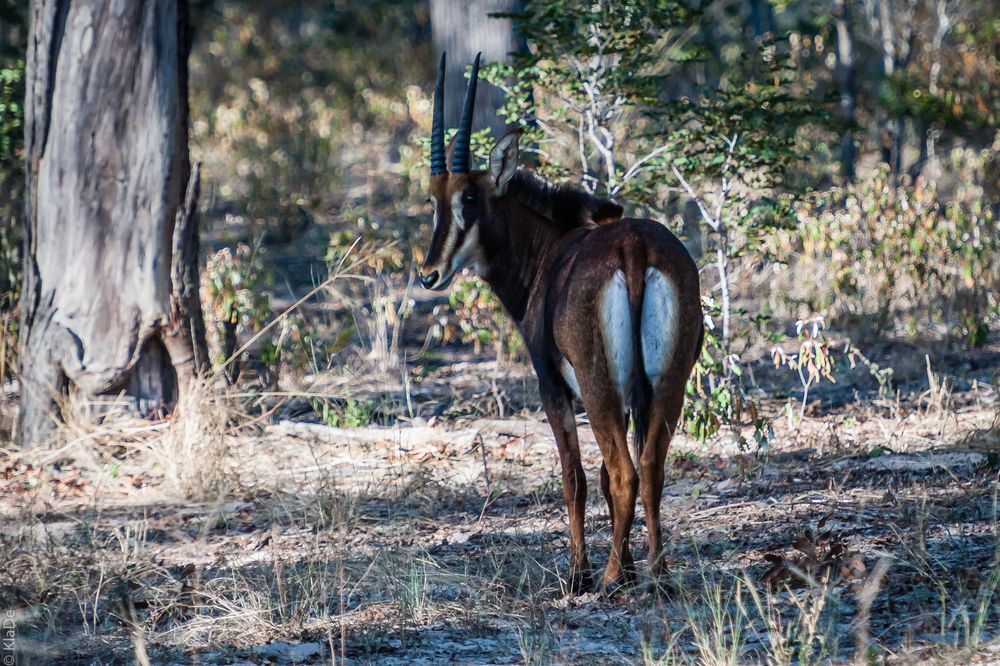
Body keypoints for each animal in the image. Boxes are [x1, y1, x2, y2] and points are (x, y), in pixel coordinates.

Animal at [422, 53, 704, 592]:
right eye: (433, 200)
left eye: (469, 199)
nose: (429, 274)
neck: (550, 249)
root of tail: (633, 248)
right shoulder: (633, 393)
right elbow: (604, 475)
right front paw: (629, 565)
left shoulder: (552, 385)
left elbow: (575, 476)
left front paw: (579, 573)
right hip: (666, 382)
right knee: (650, 466)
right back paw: (656, 573)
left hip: (597, 385)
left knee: (624, 471)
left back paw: (610, 577)